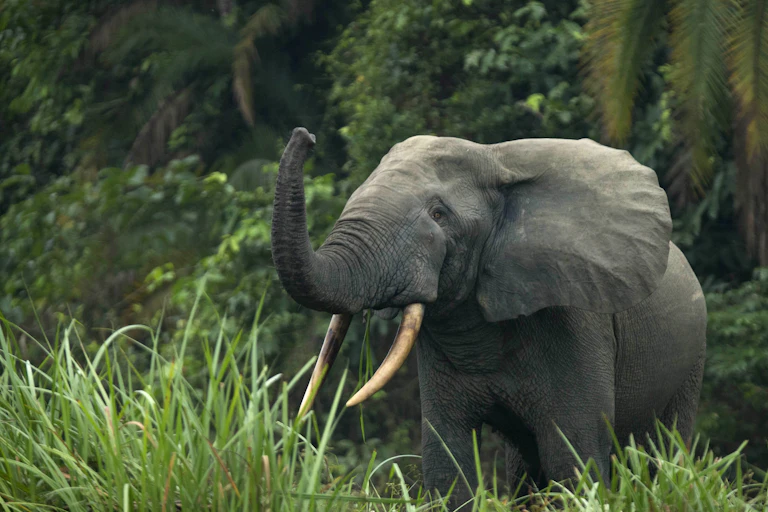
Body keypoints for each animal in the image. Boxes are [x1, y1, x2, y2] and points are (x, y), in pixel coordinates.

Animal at [270, 127, 707, 507]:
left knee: (666, 449)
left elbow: (573, 456)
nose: (306, 137)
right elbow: (447, 458)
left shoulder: (576, 322)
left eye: (439, 214)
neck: (496, 160)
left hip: (691, 361)